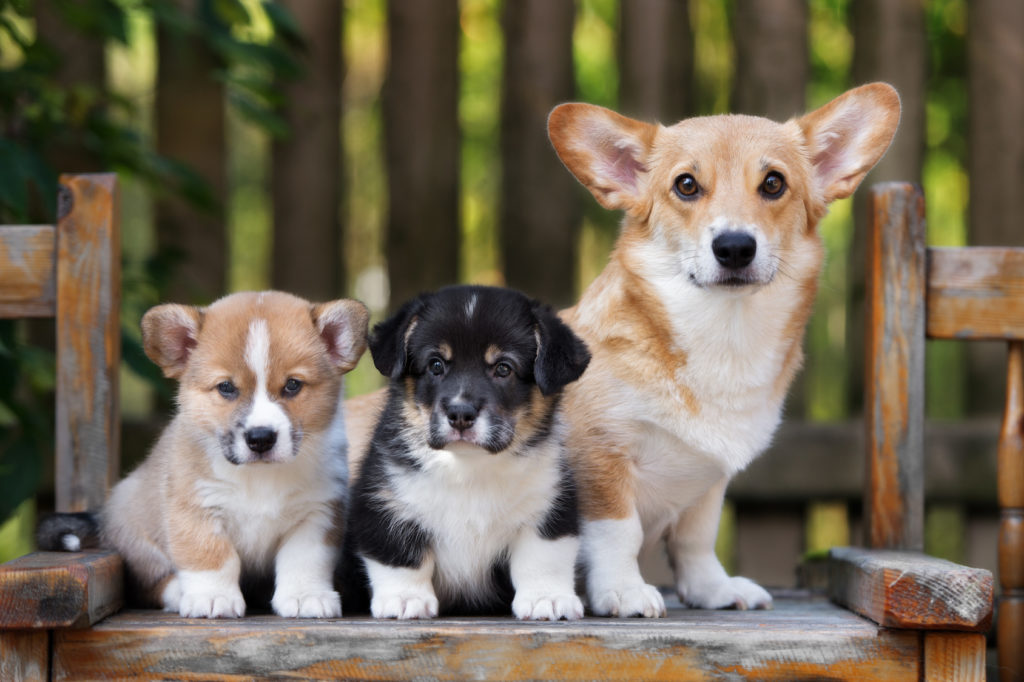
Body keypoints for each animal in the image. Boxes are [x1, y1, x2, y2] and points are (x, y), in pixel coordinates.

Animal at [50, 288, 372, 618]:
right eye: (226, 387)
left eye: (293, 385)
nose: (260, 438)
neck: (259, 477)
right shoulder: (196, 509)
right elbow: (212, 557)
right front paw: (213, 597)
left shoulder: (316, 514)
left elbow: (304, 560)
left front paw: (305, 596)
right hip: (140, 540)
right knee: (150, 583)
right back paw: (179, 592)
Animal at [339, 284, 589, 618]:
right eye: (436, 365)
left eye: (503, 368)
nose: (460, 414)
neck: (468, 466)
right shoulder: (385, 503)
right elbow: (401, 557)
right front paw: (405, 599)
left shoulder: (550, 506)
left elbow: (542, 558)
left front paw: (545, 598)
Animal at [548, 82, 901, 614]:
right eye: (686, 185)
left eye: (773, 183)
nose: (734, 247)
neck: (724, 336)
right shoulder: (601, 457)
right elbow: (617, 533)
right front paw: (623, 590)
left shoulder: (708, 484)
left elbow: (695, 539)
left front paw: (711, 589)